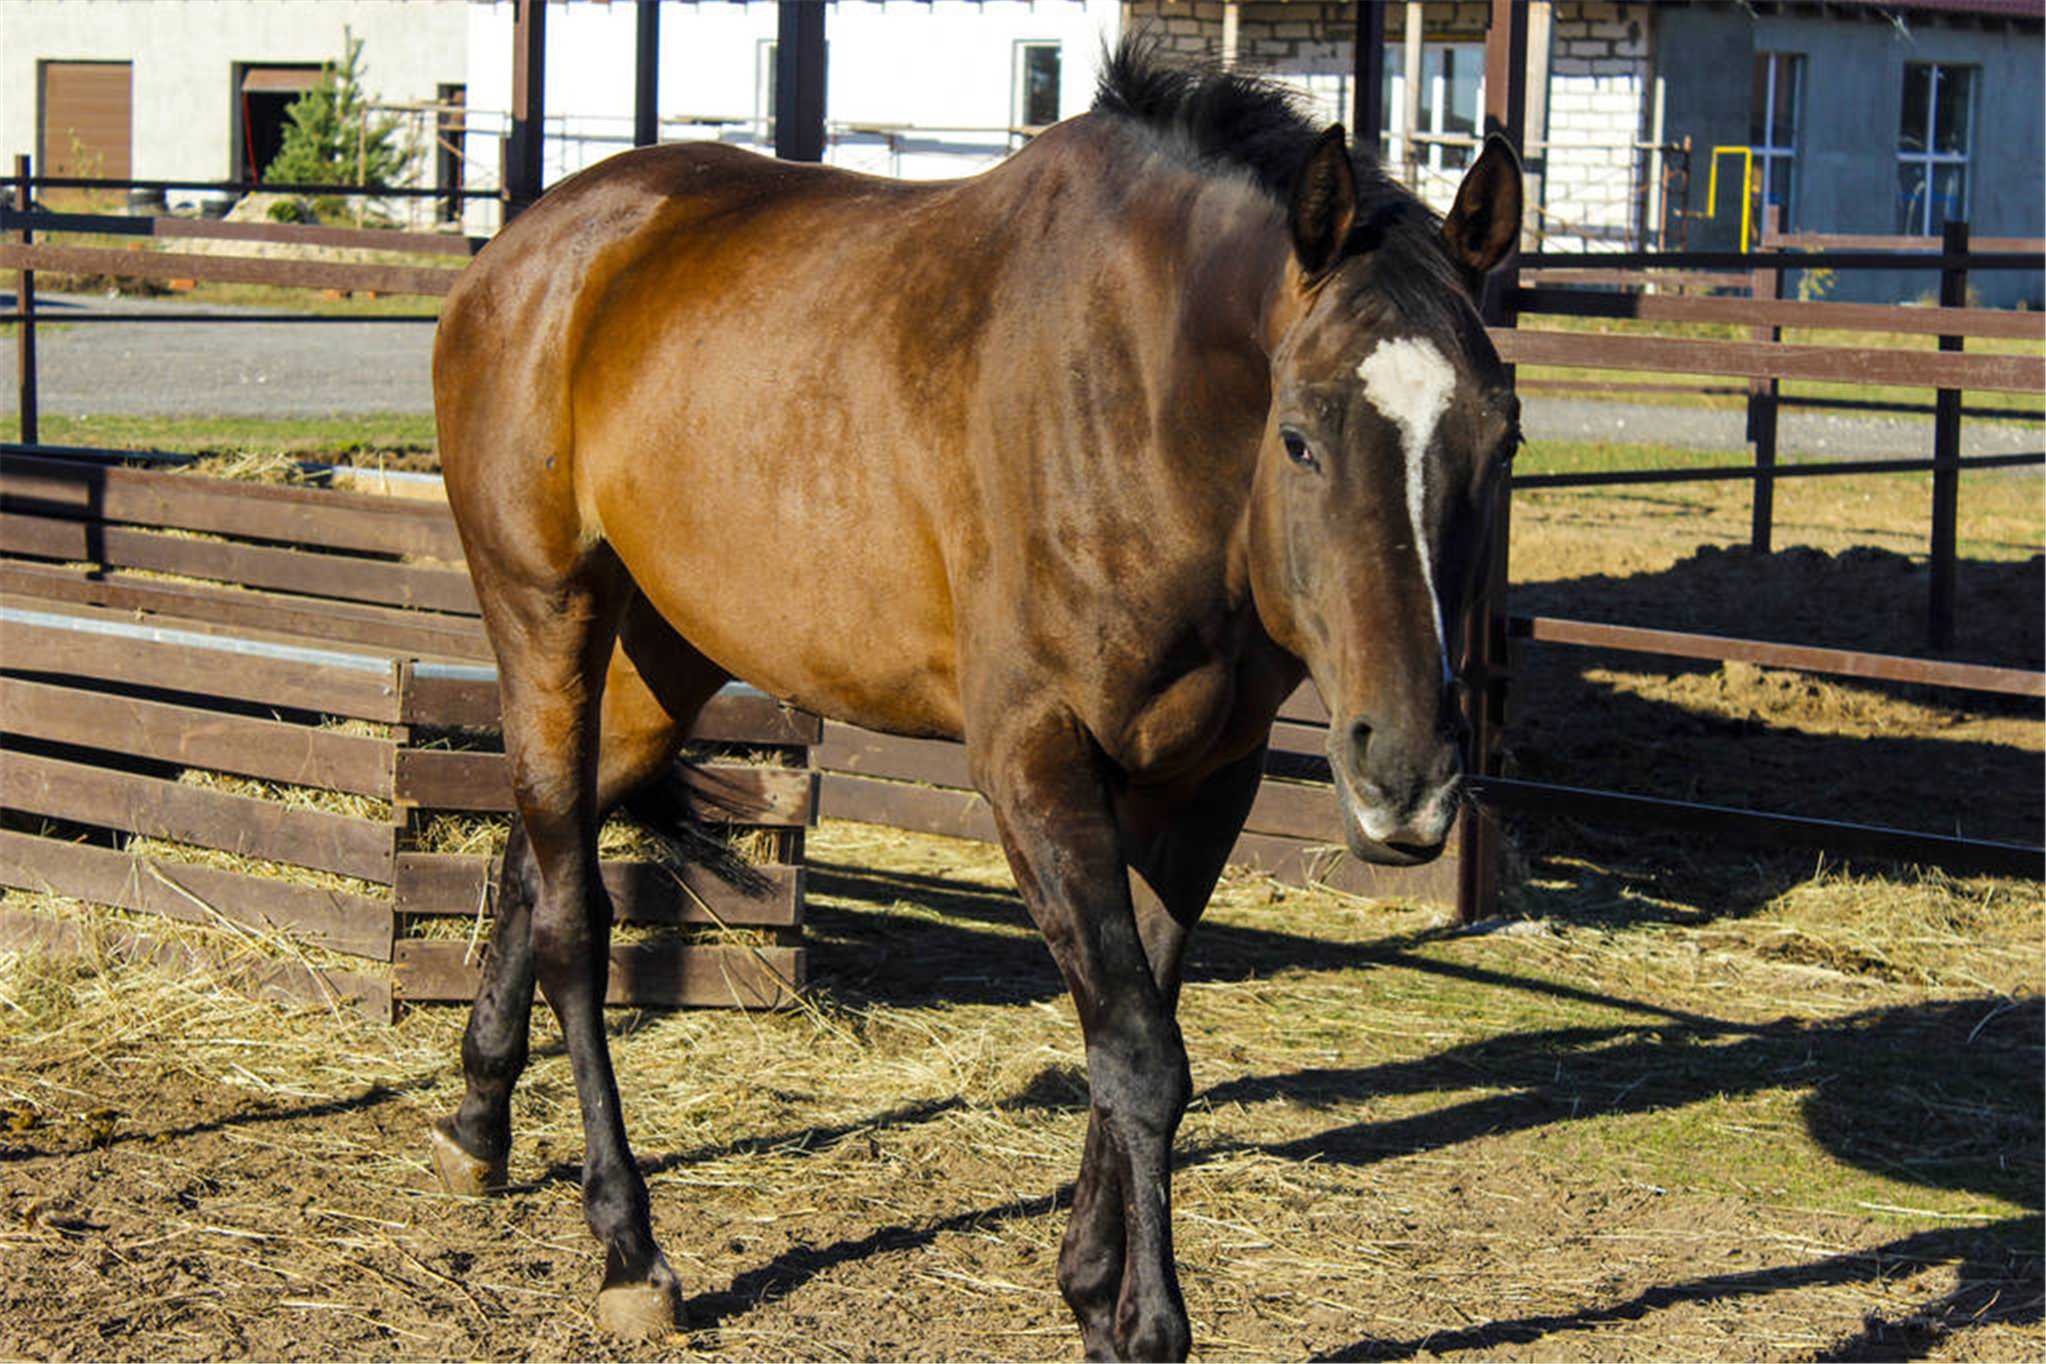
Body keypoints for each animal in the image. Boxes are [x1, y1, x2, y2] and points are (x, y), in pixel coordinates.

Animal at [427, 45, 1522, 1364]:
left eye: (1504, 440)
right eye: (1301, 434)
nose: (1408, 773)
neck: (1138, 400)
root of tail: (526, 248)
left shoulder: (1204, 776)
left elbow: (1135, 1020)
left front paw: (1093, 1283)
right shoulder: (1032, 759)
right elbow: (1141, 1048)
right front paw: (1145, 1320)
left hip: (661, 663)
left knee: (534, 856)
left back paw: (478, 1125)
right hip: (547, 615)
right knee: (575, 916)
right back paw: (629, 1243)